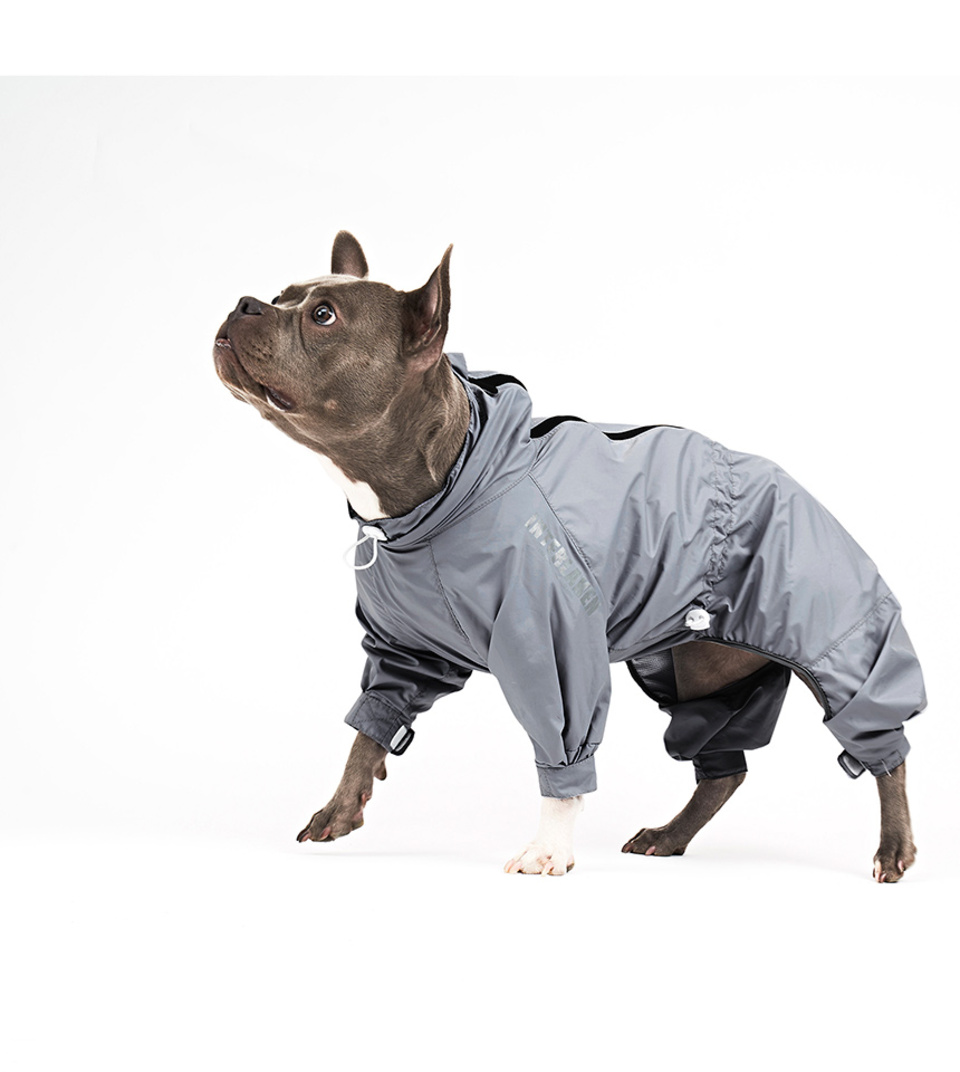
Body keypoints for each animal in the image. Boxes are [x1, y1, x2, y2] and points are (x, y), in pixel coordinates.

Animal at [213, 232, 925, 881]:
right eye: (280, 294)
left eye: (323, 315)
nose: (244, 303)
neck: (439, 489)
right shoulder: (403, 652)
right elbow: (370, 727)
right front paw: (339, 808)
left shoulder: (551, 645)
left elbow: (562, 753)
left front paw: (549, 849)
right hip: (695, 671)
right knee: (723, 764)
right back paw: (671, 837)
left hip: (834, 638)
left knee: (881, 742)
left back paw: (893, 848)